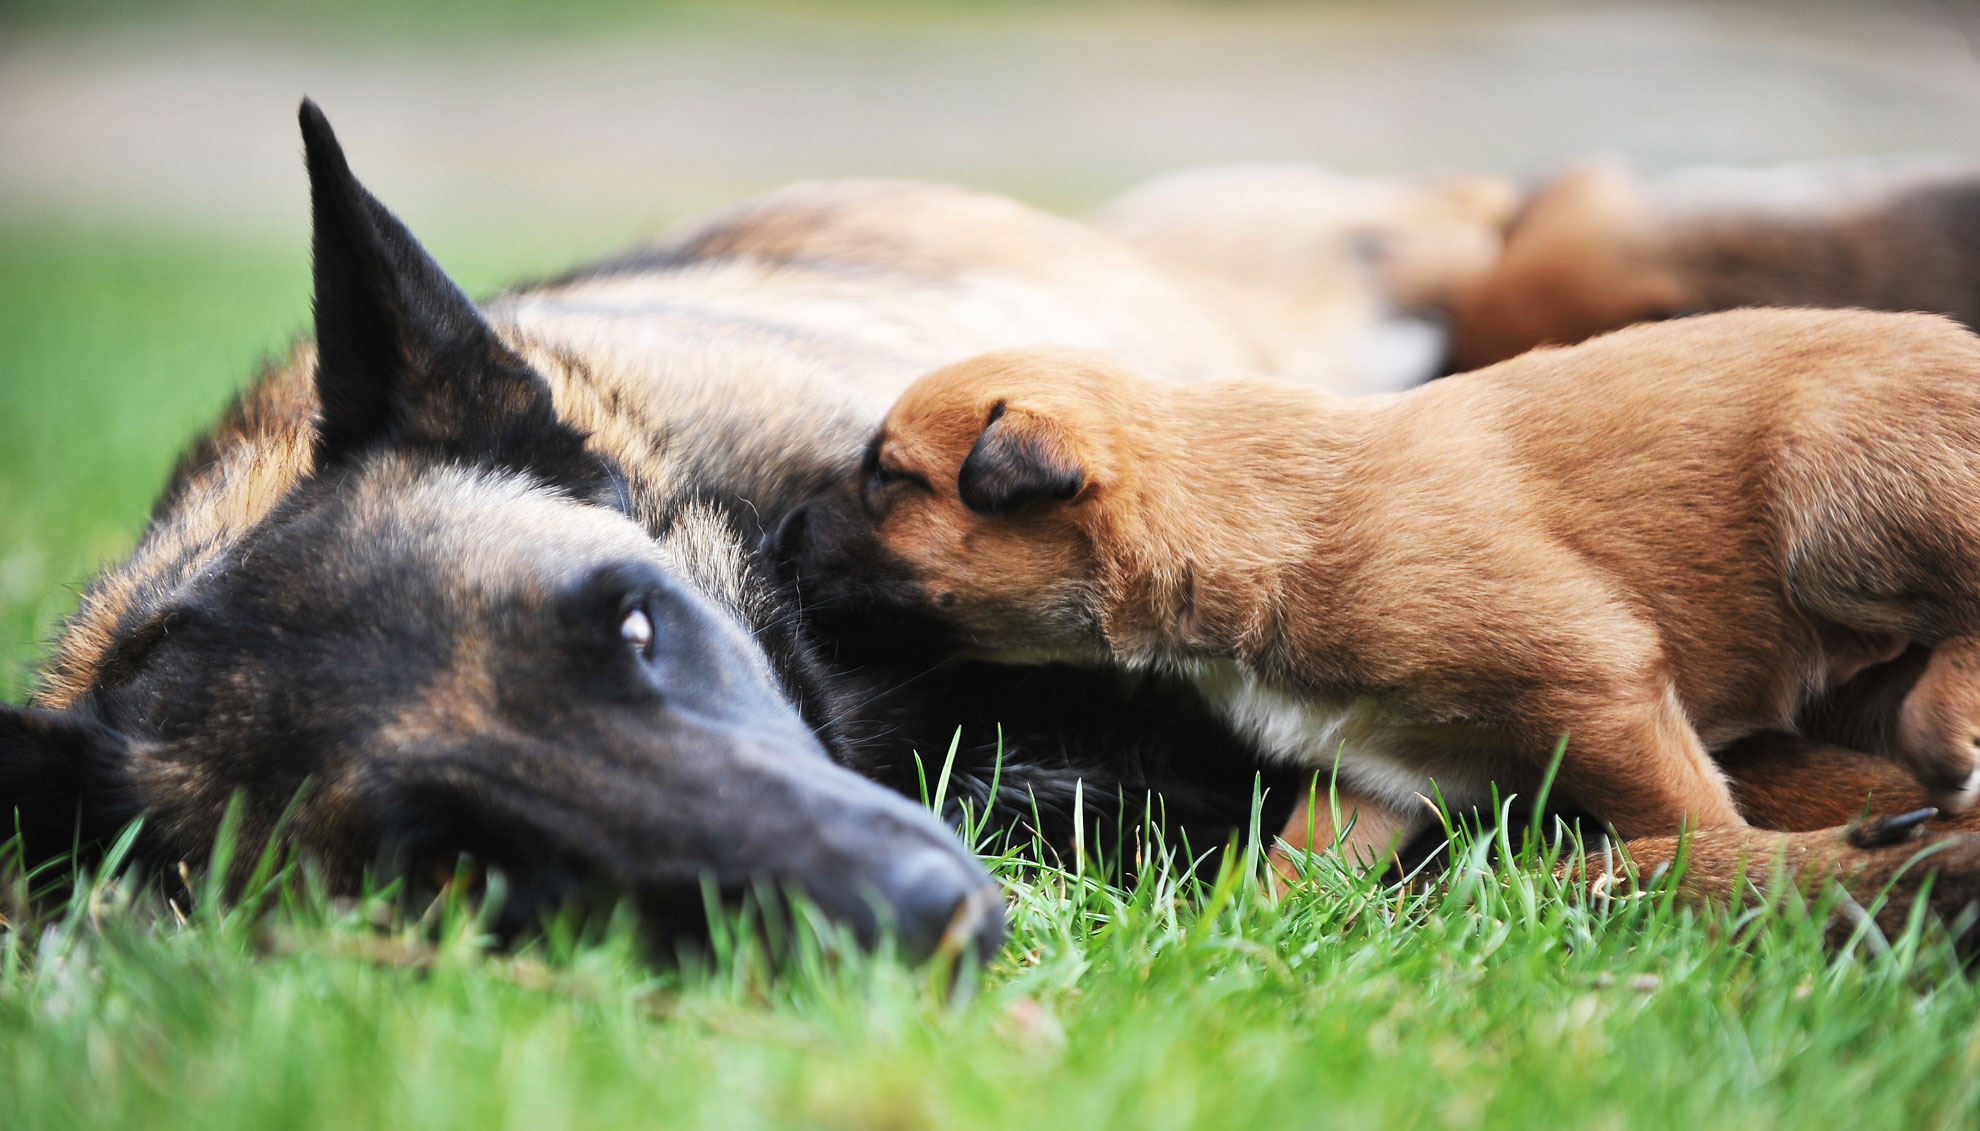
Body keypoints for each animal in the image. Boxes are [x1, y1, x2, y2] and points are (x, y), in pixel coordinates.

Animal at [776, 308, 1980, 930]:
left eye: (887, 478)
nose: (776, 529)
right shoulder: (1378, 776)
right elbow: (1289, 866)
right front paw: (1230, 941)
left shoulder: (1600, 687)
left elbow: (1685, 818)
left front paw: (1712, 880)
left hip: (1836, 493)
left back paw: (1944, 734)